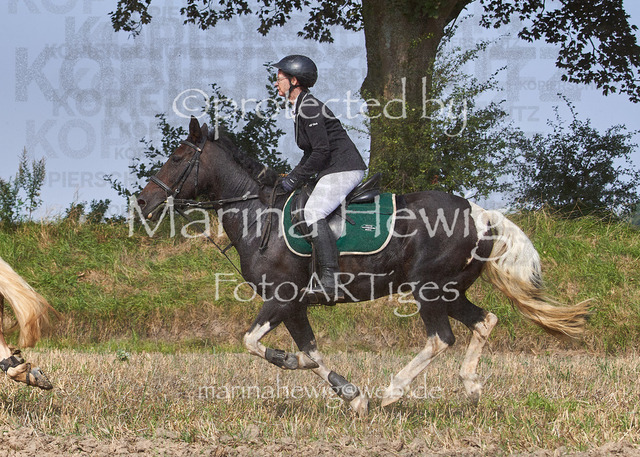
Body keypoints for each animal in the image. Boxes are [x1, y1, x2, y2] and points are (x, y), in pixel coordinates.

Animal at [135, 116, 588, 415]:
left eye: (177, 157)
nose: (143, 201)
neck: (257, 216)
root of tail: (478, 213)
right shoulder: (294, 307)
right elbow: (312, 352)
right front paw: (352, 395)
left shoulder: (281, 298)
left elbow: (254, 342)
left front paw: (296, 364)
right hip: (450, 289)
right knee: (484, 321)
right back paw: (471, 386)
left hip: (428, 289)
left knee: (440, 338)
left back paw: (394, 391)